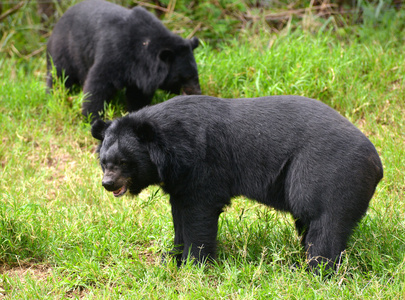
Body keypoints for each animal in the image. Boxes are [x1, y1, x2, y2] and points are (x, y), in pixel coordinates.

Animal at [46, 0, 200, 122]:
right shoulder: (114, 52)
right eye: (186, 77)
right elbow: (98, 83)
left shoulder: (141, 73)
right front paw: (91, 118)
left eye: (195, 74)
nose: (198, 93)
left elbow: (138, 95)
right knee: (59, 76)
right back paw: (53, 97)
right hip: (64, 50)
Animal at [90, 95, 382, 274]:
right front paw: (171, 256)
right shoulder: (179, 179)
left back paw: (313, 270)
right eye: (104, 162)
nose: (108, 184)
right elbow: (179, 214)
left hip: (327, 173)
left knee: (323, 222)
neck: (170, 148)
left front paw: (194, 263)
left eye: (124, 162)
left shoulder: (203, 163)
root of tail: (377, 163)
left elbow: (199, 212)